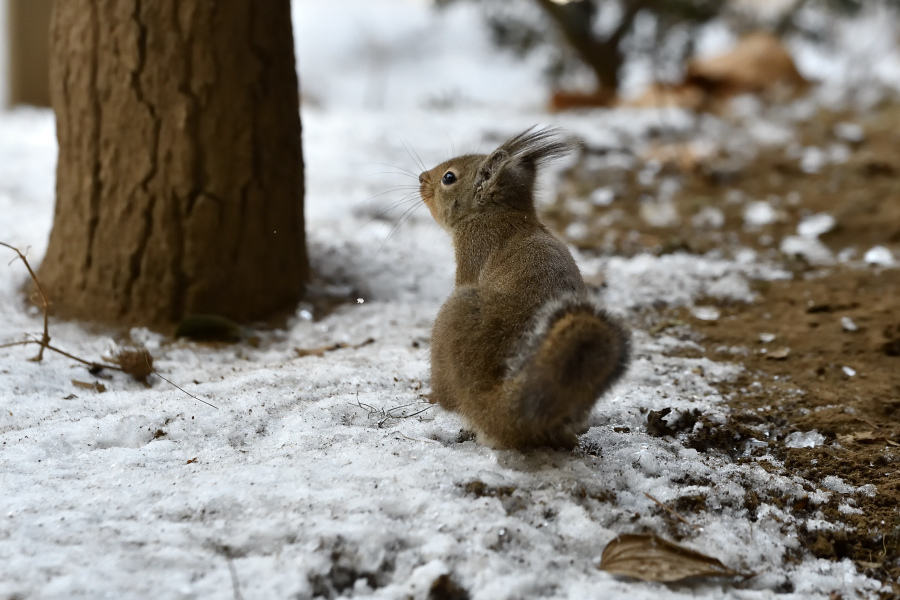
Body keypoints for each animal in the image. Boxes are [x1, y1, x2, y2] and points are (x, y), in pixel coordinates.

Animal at [418, 129, 628, 448]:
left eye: (449, 178)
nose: (421, 178)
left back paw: (435, 397)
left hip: (456, 313)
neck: (499, 214)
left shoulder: (473, 253)